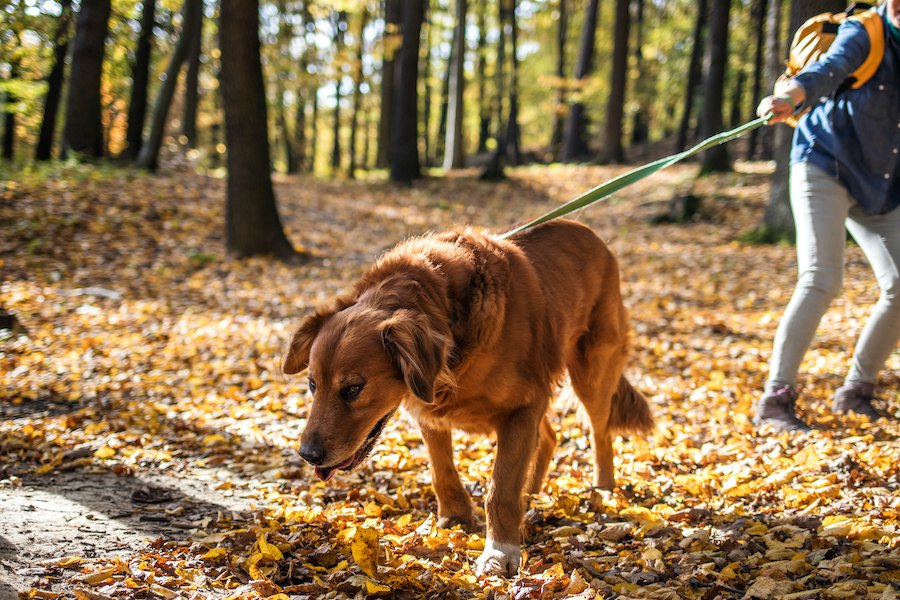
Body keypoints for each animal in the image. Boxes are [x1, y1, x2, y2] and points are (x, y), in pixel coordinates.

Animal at [284, 219, 652, 576]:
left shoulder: (522, 406)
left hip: (592, 371)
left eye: (353, 389)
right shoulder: (432, 409)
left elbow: (500, 489)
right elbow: (442, 472)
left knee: (600, 432)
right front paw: (456, 518)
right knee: (549, 436)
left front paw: (500, 551)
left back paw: (603, 489)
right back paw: (532, 492)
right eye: (313, 384)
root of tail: (588, 231)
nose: (308, 455)